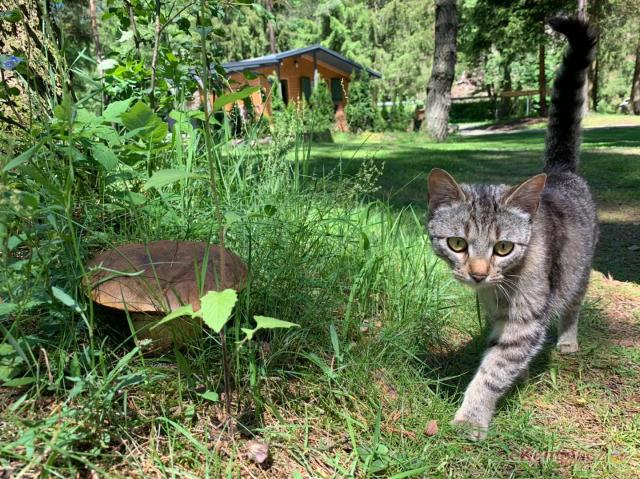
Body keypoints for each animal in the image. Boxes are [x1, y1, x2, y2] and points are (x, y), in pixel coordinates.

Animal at [428, 17, 596, 438]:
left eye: (503, 248)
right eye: (457, 244)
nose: (477, 274)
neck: (498, 291)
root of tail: (559, 170)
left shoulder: (526, 319)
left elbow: (494, 370)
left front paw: (471, 417)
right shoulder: (496, 314)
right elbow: (496, 354)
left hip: (579, 271)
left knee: (574, 306)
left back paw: (567, 340)